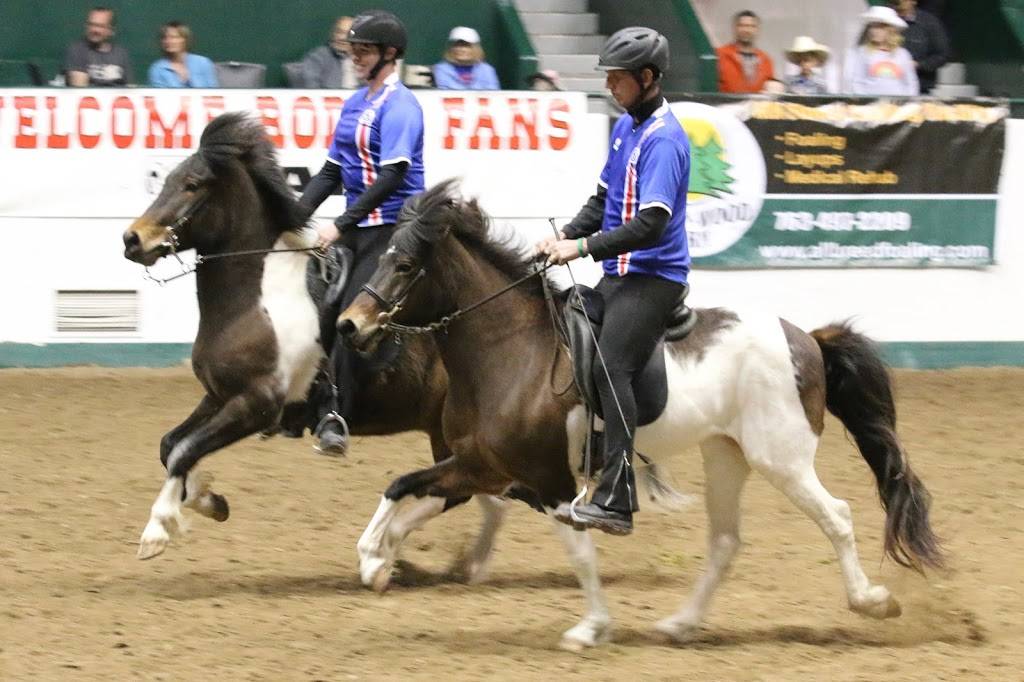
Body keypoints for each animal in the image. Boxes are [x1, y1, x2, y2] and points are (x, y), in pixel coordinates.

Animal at [119, 112, 503, 573]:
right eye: (167, 178)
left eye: (192, 184)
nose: (132, 239)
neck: (256, 297)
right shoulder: (219, 396)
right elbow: (172, 446)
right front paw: (208, 500)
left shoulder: (256, 404)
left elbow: (182, 452)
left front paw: (157, 531)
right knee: (475, 489)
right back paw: (458, 562)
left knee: (463, 489)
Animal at [337, 180, 942, 647]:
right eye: (383, 256)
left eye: (405, 264)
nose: (348, 324)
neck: (511, 350)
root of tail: (807, 339)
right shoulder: (486, 466)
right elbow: (402, 488)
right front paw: (374, 559)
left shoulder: (549, 482)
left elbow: (580, 554)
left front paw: (591, 628)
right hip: (726, 456)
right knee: (725, 543)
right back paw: (680, 625)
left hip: (782, 460)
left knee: (836, 516)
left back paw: (872, 601)